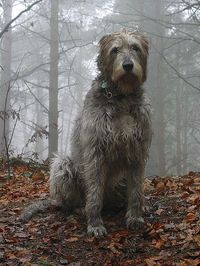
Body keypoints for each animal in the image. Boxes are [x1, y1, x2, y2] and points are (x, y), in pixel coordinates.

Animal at [20, 29, 152, 237]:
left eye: (135, 47)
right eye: (115, 50)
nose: (128, 65)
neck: (120, 96)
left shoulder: (137, 149)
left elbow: (136, 189)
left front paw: (135, 216)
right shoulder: (95, 150)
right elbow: (95, 191)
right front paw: (95, 223)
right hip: (64, 165)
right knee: (68, 200)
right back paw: (80, 208)